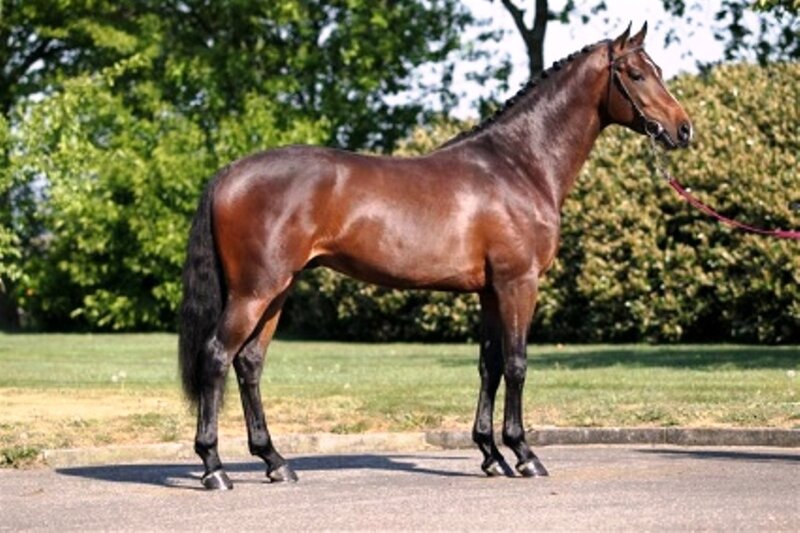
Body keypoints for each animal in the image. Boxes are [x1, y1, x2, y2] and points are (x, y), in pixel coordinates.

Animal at [179, 23, 692, 490]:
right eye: (636, 74)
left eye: (658, 70)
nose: (682, 129)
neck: (518, 166)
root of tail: (229, 172)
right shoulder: (518, 284)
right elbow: (518, 364)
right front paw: (524, 455)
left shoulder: (490, 291)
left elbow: (491, 366)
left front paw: (491, 455)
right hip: (254, 292)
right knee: (218, 356)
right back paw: (214, 468)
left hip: (277, 292)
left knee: (249, 364)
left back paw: (275, 462)